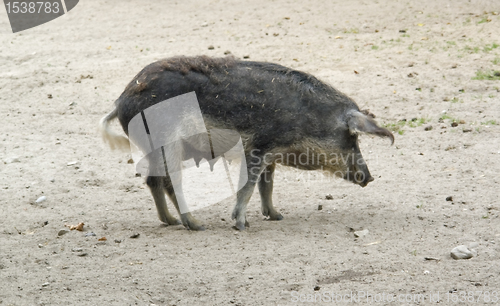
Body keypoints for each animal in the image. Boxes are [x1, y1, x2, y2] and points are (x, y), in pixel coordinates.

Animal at [99, 55, 392, 230]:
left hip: (154, 150)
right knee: (171, 182)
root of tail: (121, 100)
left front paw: (276, 216)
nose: (369, 177)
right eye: (353, 136)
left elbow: (267, 186)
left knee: (153, 181)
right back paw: (196, 224)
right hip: (167, 144)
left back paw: (171, 221)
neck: (306, 119)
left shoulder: (271, 155)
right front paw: (242, 225)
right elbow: (248, 187)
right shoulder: (257, 148)